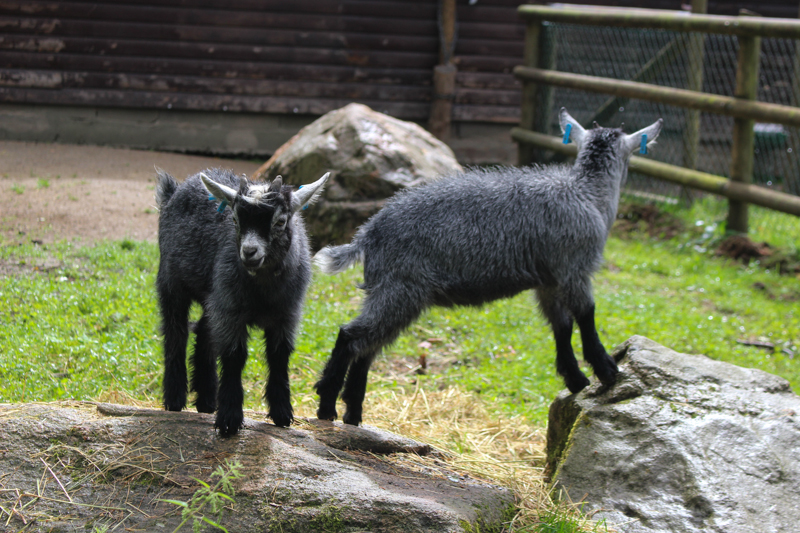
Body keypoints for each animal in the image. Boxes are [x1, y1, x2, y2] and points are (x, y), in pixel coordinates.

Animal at [155, 167, 329, 436]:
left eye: (280, 221)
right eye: (235, 220)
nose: (249, 252)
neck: (263, 290)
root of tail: (174, 191)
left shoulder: (287, 314)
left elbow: (279, 355)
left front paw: (282, 413)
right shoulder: (231, 310)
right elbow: (234, 356)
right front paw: (229, 419)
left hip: (213, 295)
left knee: (204, 330)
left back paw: (206, 401)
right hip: (171, 283)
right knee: (175, 331)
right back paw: (175, 399)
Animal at [312, 108, 663, 425]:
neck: (588, 193)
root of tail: (368, 234)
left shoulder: (549, 282)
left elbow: (561, 326)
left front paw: (575, 379)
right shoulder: (574, 268)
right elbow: (586, 315)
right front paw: (606, 370)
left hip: (388, 291)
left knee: (367, 348)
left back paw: (353, 414)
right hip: (401, 289)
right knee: (351, 336)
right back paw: (327, 406)